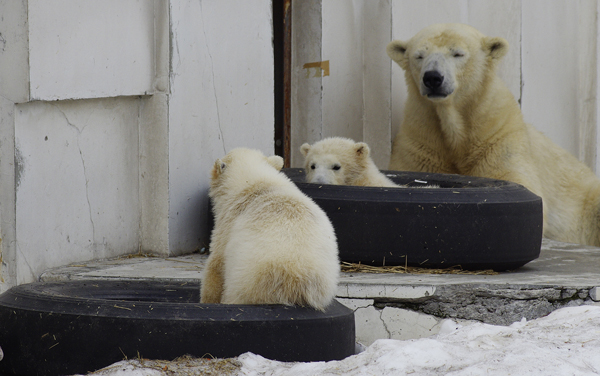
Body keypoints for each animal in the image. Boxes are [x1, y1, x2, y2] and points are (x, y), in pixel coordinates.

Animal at [386, 23, 600, 247]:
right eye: (419, 55)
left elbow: (518, 181)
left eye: (458, 53)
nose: (433, 78)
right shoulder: (422, 138)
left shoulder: (498, 134)